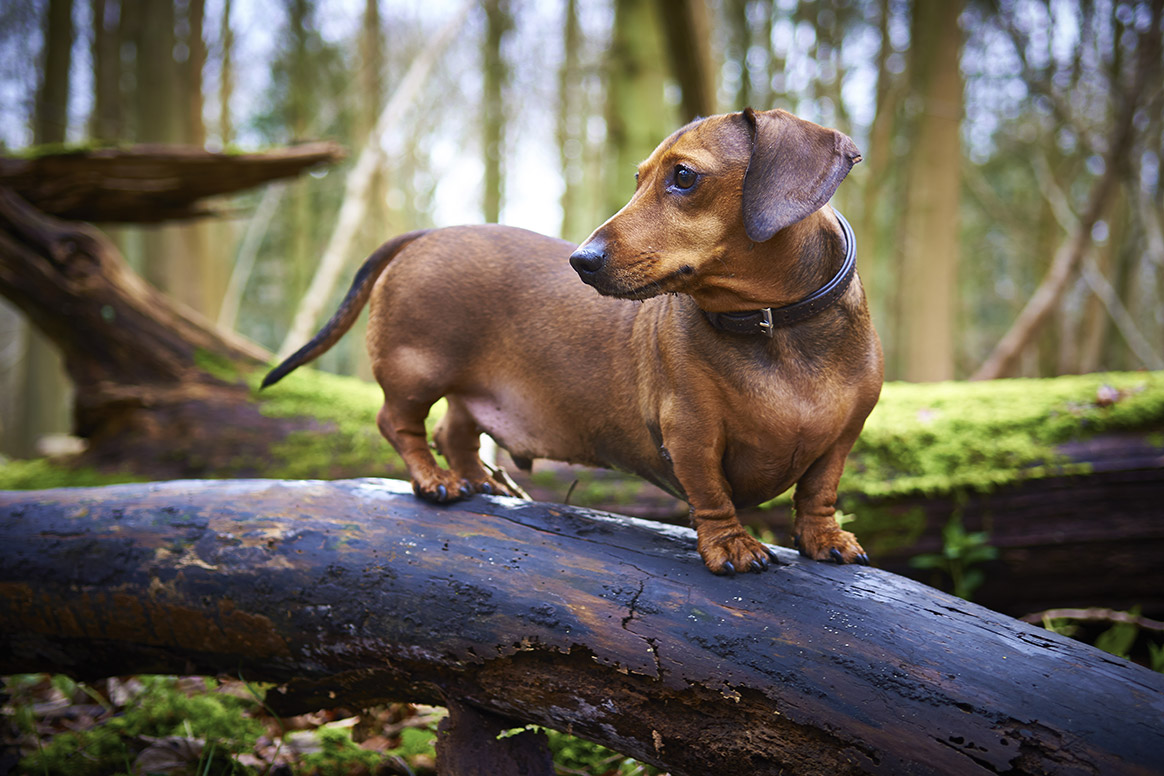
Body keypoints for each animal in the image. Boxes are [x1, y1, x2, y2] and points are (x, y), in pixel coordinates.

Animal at [264, 106, 879, 574]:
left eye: (683, 177)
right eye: (639, 178)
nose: (582, 261)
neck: (776, 326)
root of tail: (428, 233)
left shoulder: (843, 434)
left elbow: (820, 489)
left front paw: (825, 539)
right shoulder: (691, 433)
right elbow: (710, 493)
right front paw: (731, 544)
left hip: (469, 388)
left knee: (454, 430)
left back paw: (479, 482)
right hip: (417, 369)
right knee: (400, 424)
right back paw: (436, 480)